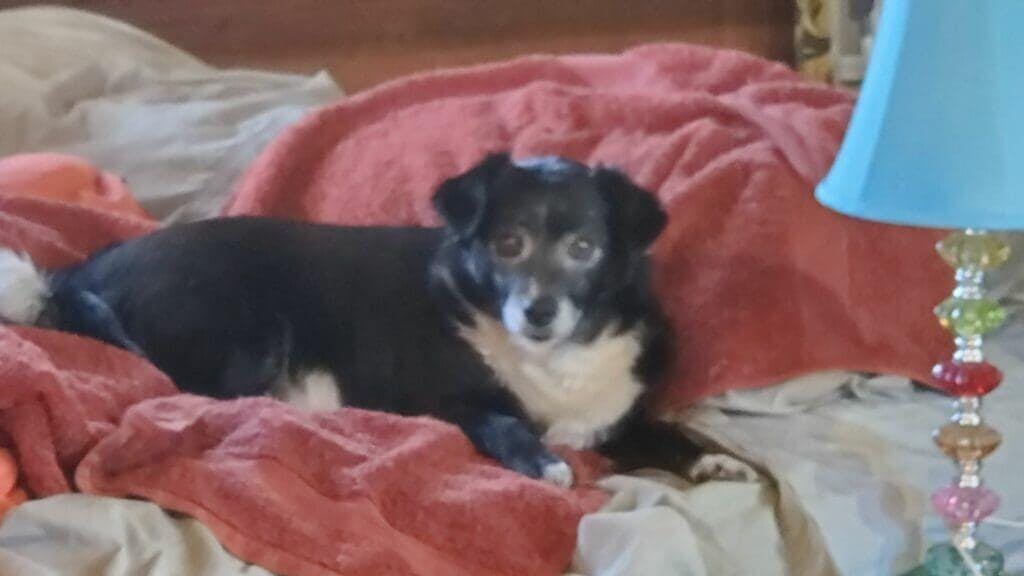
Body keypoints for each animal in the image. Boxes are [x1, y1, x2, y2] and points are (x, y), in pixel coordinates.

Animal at [0, 153, 755, 487]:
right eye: (507, 243)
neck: (547, 359)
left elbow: (663, 432)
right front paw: (542, 462)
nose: (538, 311)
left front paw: (715, 459)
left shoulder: (615, 415)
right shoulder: (454, 404)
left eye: (585, 249)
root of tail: (82, 271)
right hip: (248, 322)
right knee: (205, 397)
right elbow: (505, 424)